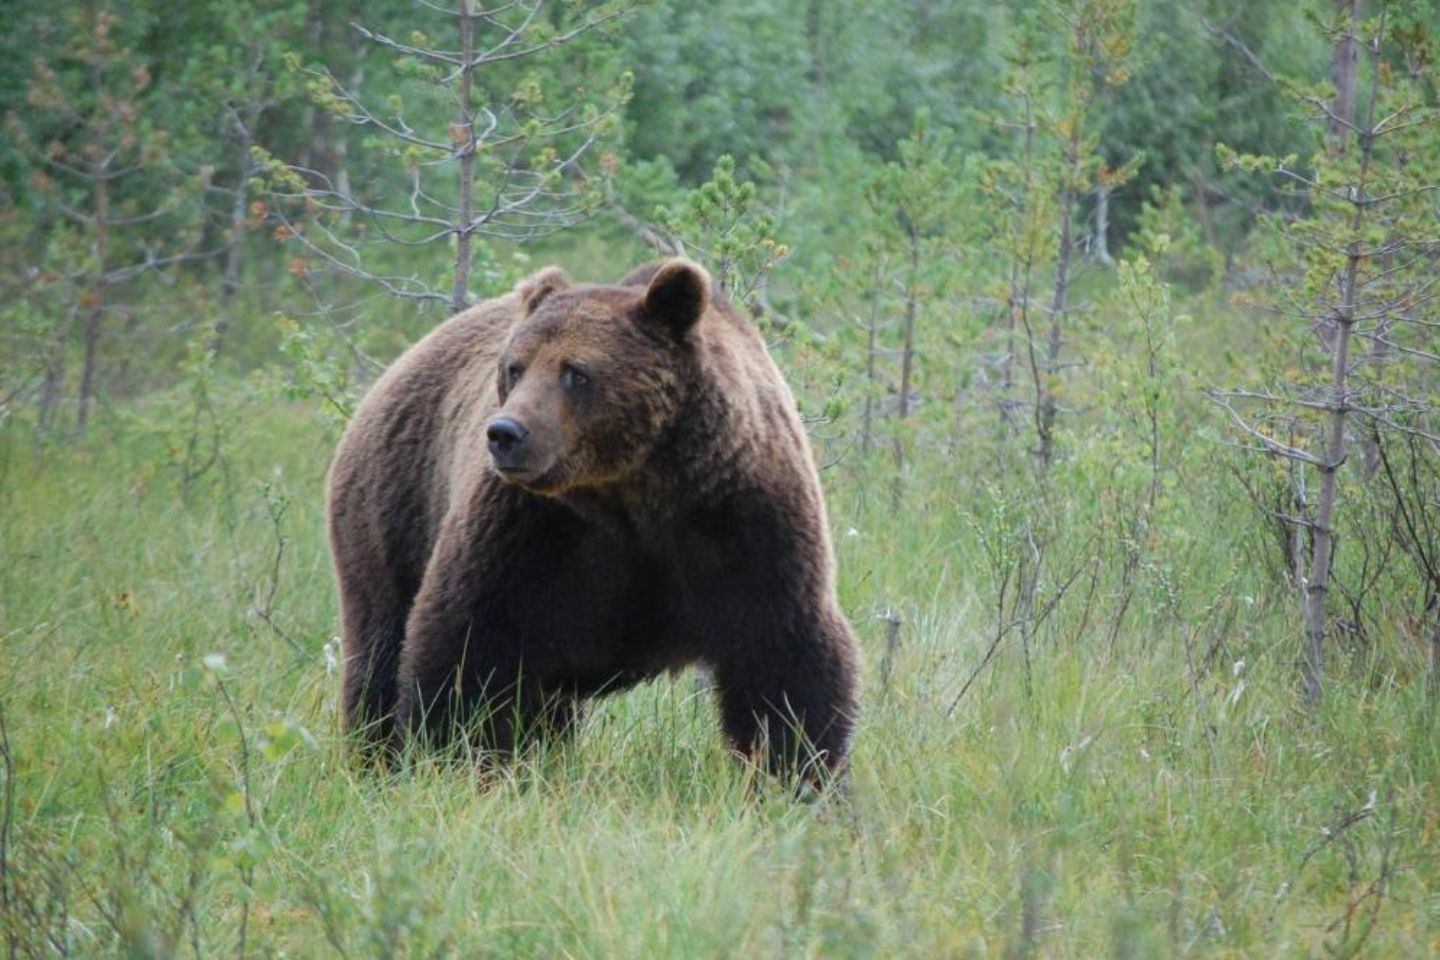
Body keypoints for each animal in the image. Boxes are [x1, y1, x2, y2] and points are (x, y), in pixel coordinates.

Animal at [329, 260, 852, 782]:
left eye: (575, 372)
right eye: (514, 367)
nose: (504, 433)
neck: (632, 489)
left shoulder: (742, 522)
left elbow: (784, 658)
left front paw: (798, 773)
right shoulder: (529, 530)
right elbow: (466, 641)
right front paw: (452, 759)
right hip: (393, 508)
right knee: (380, 647)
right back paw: (374, 757)